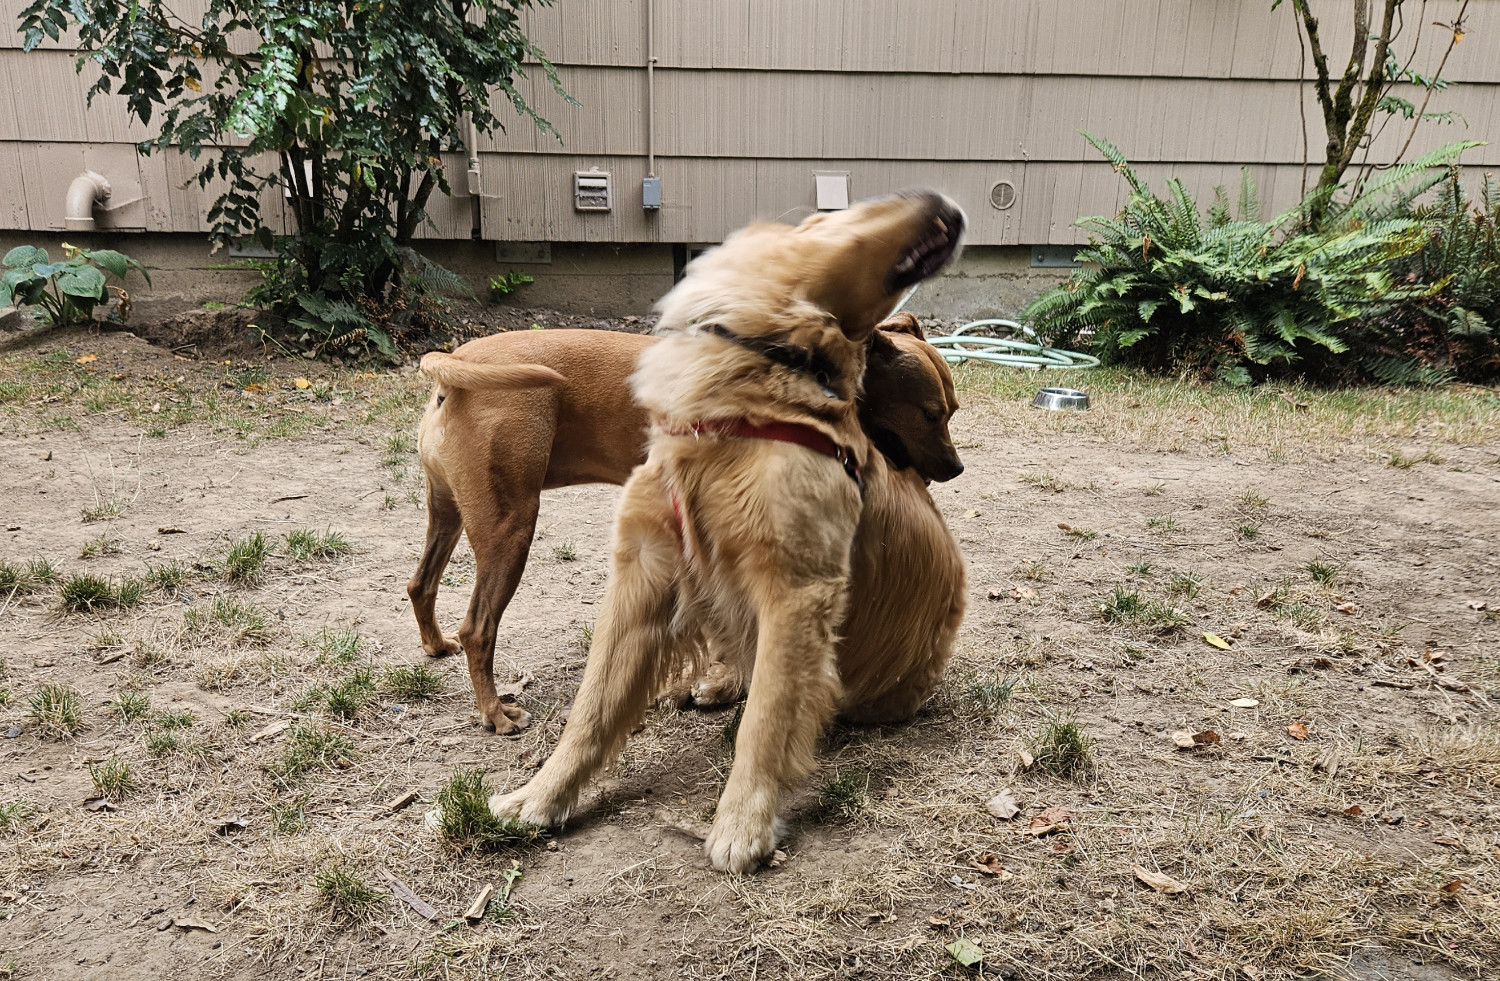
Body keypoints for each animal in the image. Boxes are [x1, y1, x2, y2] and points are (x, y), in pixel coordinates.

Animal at [480, 193, 966, 876]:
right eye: (875, 203)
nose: (951, 204)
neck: (748, 399)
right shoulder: (644, 572)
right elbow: (590, 711)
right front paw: (539, 798)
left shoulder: (796, 590)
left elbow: (766, 717)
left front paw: (743, 825)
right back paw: (715, 679)